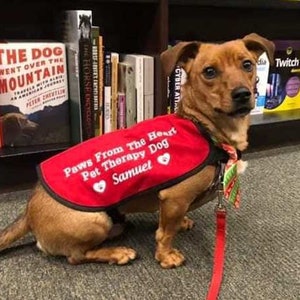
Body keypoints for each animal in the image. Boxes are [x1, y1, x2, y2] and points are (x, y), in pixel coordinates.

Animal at [0, 34, 274, 268]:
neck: (202, 128)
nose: (243, 94)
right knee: (76, 256)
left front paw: (182, 223)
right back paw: (116, 253)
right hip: (96, 221)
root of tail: (29, 210)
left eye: (248, 65)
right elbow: (165, 233)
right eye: (209, 72)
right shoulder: (174, 198)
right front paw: (166, 256)